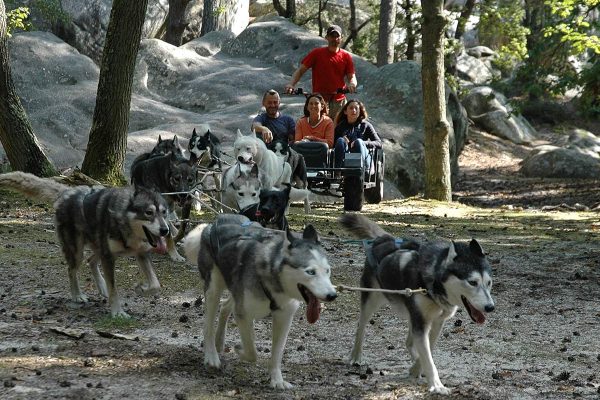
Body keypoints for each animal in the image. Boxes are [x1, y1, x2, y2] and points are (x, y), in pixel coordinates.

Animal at [0, 172, 170, 318]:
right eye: (149, 212)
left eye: (164, 212)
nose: (165, 230)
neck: (122, 219)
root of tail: (67, 192)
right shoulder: (108, 257)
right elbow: (114, 289)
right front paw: (117, 312)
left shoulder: (140, 254)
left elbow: (155, 284)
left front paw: (141, 289)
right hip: (78, 253)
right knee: (71, 270)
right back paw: (77, 295)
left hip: (98, 249)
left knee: (91, 261)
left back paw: (102, 287)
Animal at [184, 214, 338, 390]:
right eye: (310, 272)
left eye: (327, 270)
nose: (332, 295)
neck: (272, 275)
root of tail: (215, 221)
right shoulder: (243, 314)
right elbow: (252, 353)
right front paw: (239, 349)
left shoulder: (284, 317)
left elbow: (277, 353)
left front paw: (277, 380)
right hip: (213, 289)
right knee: (208, 325)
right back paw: (211, 356)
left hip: (235, 290)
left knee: (225, 307)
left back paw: (219, 341)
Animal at [340, 214, 494, 396]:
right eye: (472, 282)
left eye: (489, 283)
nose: (490, 307)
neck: (434, 284)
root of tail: (384, 239)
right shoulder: (421, 322)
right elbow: (427, 357)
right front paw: (436, 385)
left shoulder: (436, 322)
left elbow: (428, 349)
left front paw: (416, 369)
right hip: (372, 299)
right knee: (361, 326)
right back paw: (356, 356)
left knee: (409, 341)